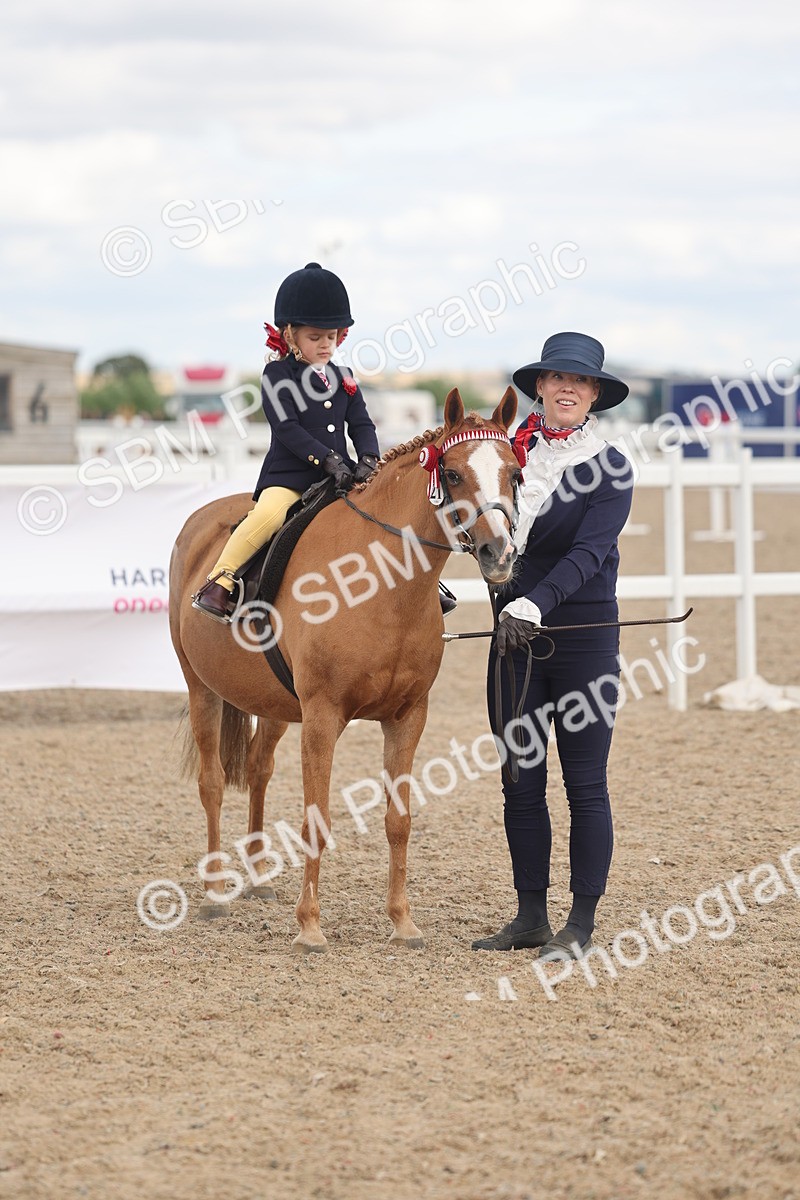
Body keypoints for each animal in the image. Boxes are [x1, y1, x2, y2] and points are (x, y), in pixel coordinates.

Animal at [169, 386, 520, 952]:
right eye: (453, 474)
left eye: (514, 472)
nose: (498, 553)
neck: (381, 585)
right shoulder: (323, 716)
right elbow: (316, 819)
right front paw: (310, 927)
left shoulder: (407, 717)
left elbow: (399, 820)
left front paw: (403, 922)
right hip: (202, 688)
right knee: (213, 783)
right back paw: (216, 892)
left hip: (274, 705)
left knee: (259, 769)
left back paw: (258, 877)